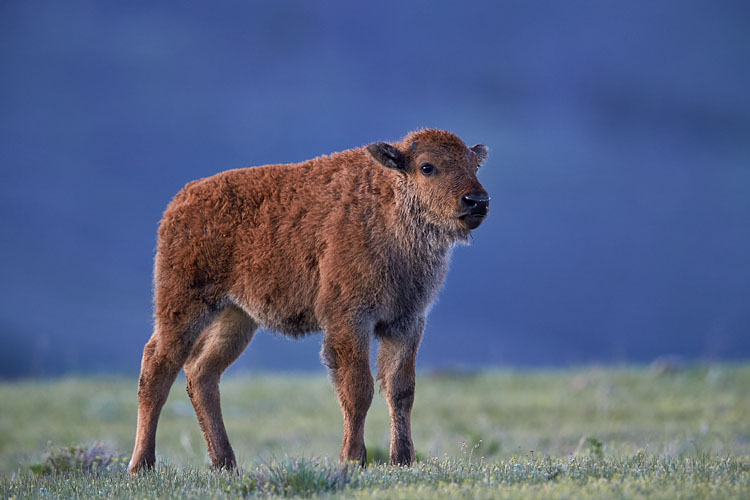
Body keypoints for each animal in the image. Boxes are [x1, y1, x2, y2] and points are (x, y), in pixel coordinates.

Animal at [128, 129, 494, 472]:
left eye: (474, 165)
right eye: (427, 167)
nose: (477, 201)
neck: (386, 205)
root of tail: (180, 203)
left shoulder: (406, 322)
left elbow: (400, 390)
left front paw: (402, 460)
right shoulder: (349, 320)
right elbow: (358, 389)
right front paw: (352, 459)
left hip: (236, 318)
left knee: (201, 372)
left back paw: (225, 463)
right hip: (183, 306)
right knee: (157, 368)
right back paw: (142, 465)